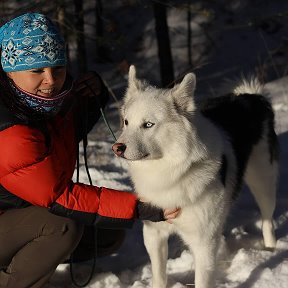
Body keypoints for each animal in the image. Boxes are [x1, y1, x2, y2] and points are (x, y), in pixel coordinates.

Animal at [111, 66, 278, 288]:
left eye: (148, 124)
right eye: (126, 122)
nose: (117, 148)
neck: (173, 171)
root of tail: (251, 97)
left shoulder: (203, 244)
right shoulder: (154, 234)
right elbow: (159, 275)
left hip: (263, 182)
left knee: (267, 218)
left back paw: (270, 247)